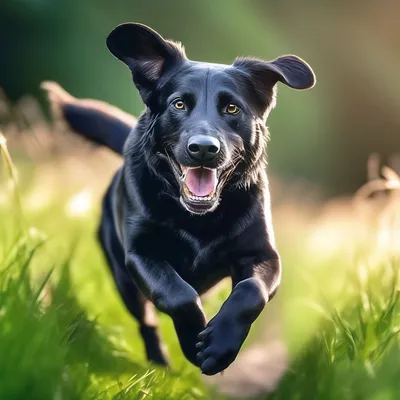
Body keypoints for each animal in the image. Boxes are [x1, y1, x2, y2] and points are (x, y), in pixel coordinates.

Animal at [42, 23, 314, 376]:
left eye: (232, 108)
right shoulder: (141, 254)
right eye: (179, 105)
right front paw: (193, 338)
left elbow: (250, 291)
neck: (199, 218)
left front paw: (220, 346)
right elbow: (178, 293)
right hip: (122, 278)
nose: (204, 148)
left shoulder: (263, 256)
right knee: (147, 322)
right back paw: (159, 362)